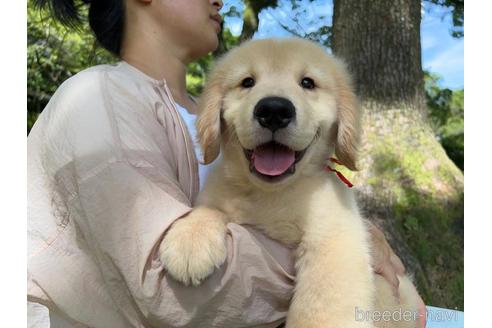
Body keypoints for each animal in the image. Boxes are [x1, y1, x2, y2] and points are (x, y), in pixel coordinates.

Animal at [160, 37, 418, 326]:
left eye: (307, 83)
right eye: (247, 82)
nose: (273, 110)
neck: (271, 194)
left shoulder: (335, 241)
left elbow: (319, 310)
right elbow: (209, 208)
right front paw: (189, 238)